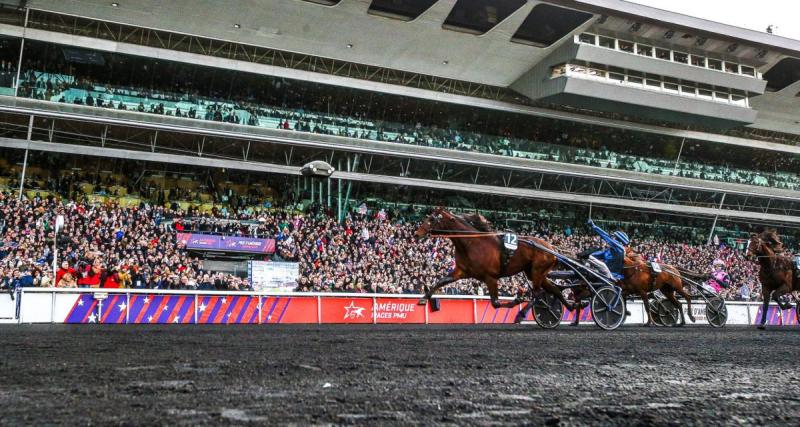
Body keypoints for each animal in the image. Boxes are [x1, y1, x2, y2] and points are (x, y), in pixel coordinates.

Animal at [412, 210, 568, 312]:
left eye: (432, 219)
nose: (416, 234)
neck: (471, 243)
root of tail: (551, 247)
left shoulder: (491, 277)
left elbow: (496, 303)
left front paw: (516, 300)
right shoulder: (461, 271)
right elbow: (440, 281)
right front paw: (423, 298)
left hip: (537, 270)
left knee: (537, 293)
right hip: (534, 272)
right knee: (553, 289)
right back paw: (571, 306)